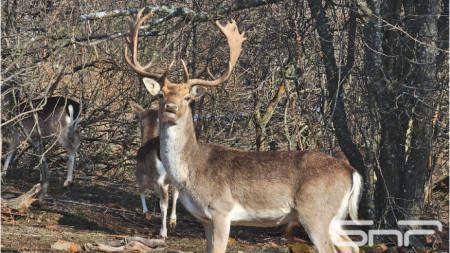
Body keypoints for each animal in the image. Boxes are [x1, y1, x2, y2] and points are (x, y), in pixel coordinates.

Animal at [129, 100, 178, 238]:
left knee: (164, 202)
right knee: (176, 194)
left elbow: (140, 190)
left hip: (158, 176)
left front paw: (146, 212)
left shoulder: (139, 174)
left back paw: (163, 232)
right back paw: (173, 222)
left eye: (139, 118)